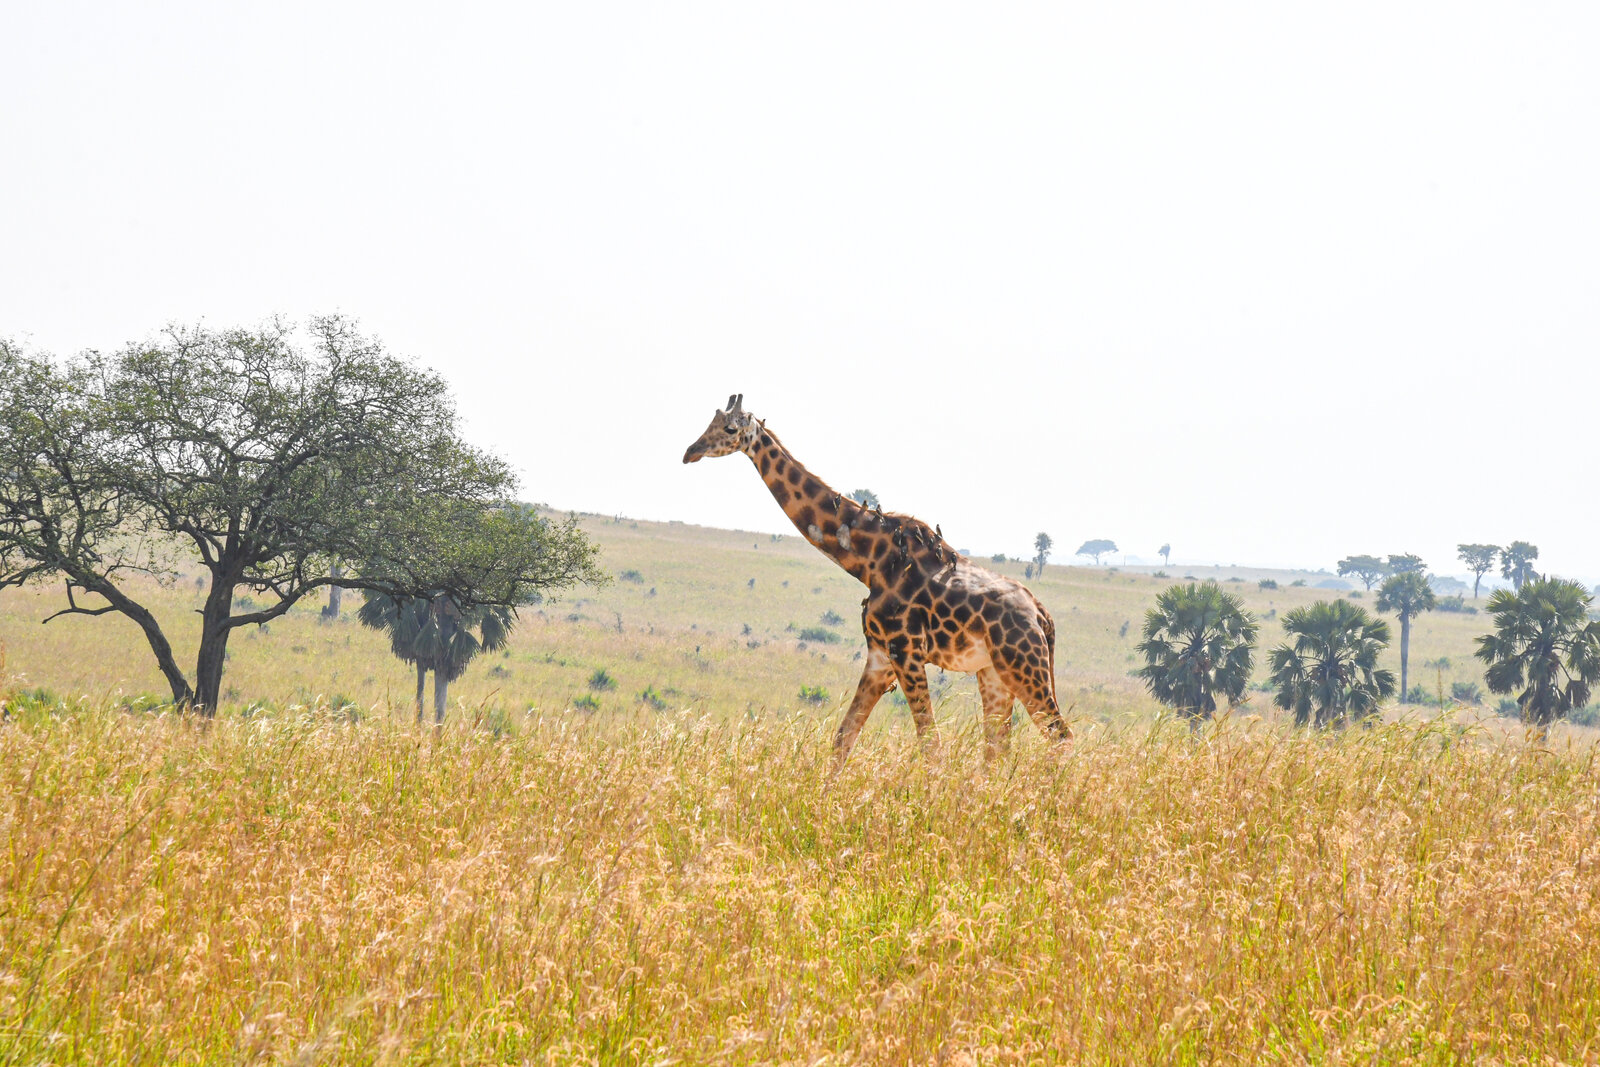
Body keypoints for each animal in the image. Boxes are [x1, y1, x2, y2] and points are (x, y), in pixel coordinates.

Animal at [683, 395, 1072, 762]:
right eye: (709, 422)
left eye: (730, 429)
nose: (691, 451)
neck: (867, 561)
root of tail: (1043, 616)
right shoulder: (880, 656)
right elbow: (843, 738)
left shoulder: (906, 652)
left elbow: (930, 745)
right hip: (994, 672)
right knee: (998, 748)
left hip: (1023, 665)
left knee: (1060, 737)